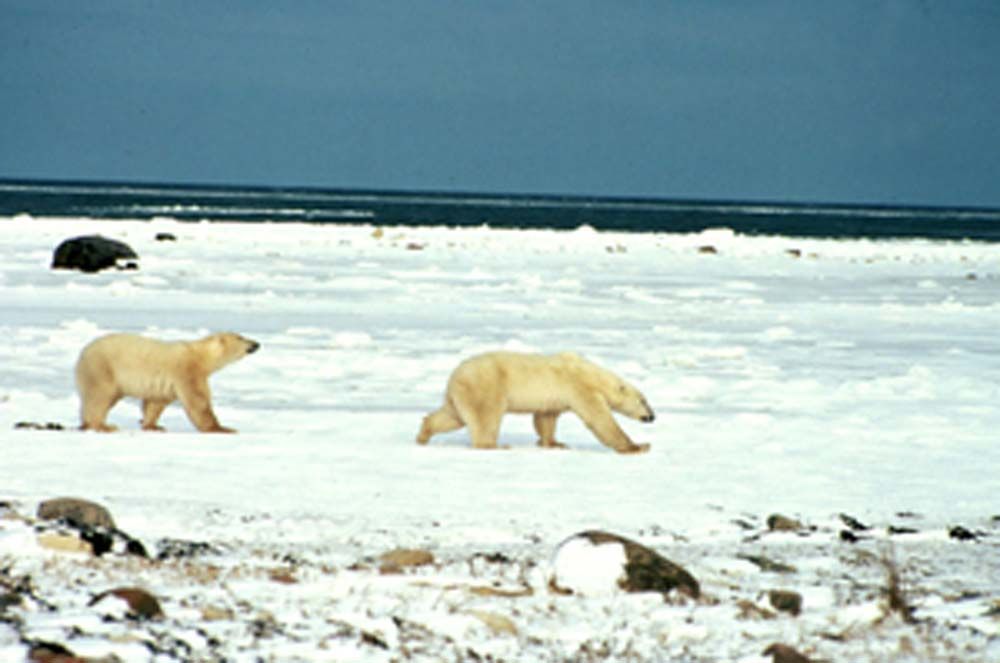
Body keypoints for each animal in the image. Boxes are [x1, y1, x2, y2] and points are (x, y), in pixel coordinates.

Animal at [75, 332, 259, 433]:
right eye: (241, 337)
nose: (257, 343)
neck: (200, 355)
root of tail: (82, 355)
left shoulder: (166, 383)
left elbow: (156, 402)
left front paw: (153, 426)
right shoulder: (187, 371)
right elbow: (198, 401)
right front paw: (223, 429)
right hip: (101, 369)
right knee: (99, 397)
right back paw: (103, 426)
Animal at [416, 351, 655, 454]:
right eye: (643, 400)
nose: (653, 416)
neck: (594, 375)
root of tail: (454, 376)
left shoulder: (554, 397)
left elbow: (545, 417)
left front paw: (554, 443)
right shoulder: (579, 387)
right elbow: (600, 418)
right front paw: (638, 446)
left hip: (461, 395)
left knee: (452, 416)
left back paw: (423, 434)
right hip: (486, 387)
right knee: (486, 416)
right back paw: (495, 445)